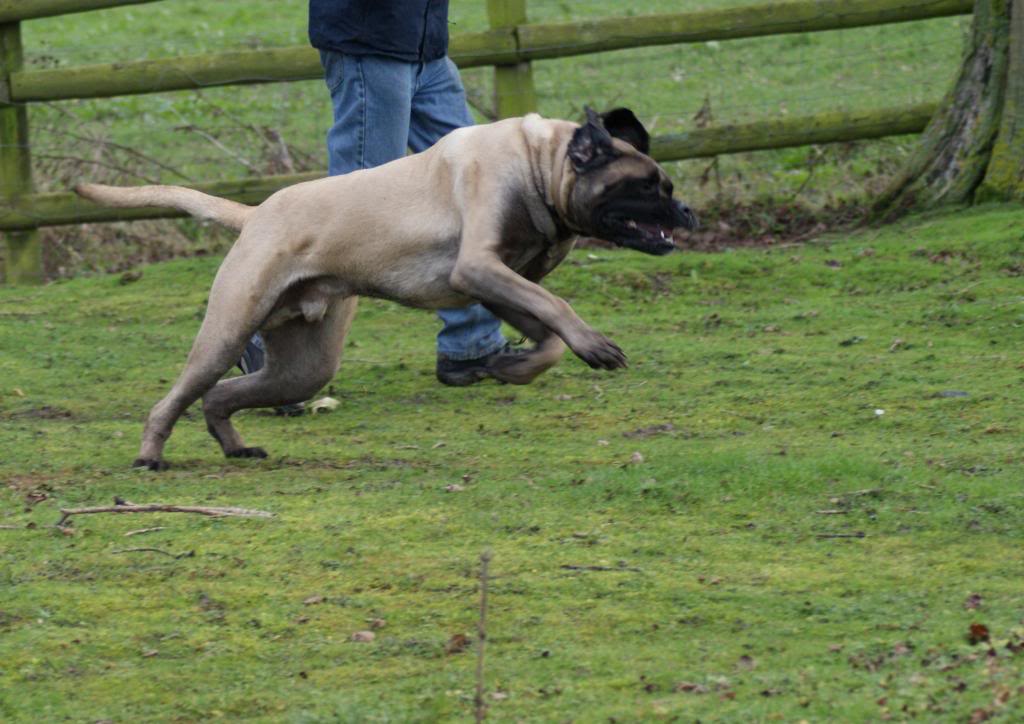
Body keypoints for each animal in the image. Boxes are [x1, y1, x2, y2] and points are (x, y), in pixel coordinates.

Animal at [77, 107, 696, 471]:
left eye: (666, 185)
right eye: (648, 186)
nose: (686, 210)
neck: (538, 164)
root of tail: (254, 214)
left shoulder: (498, 283)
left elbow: (544, 338)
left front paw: (511, 367)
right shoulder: (479, 268)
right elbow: (557, 305)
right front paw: (594, 346)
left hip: (304, 366)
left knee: (220, 396)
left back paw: (235, 445)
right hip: (226, 331)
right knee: (173, 400)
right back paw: (150, 456)